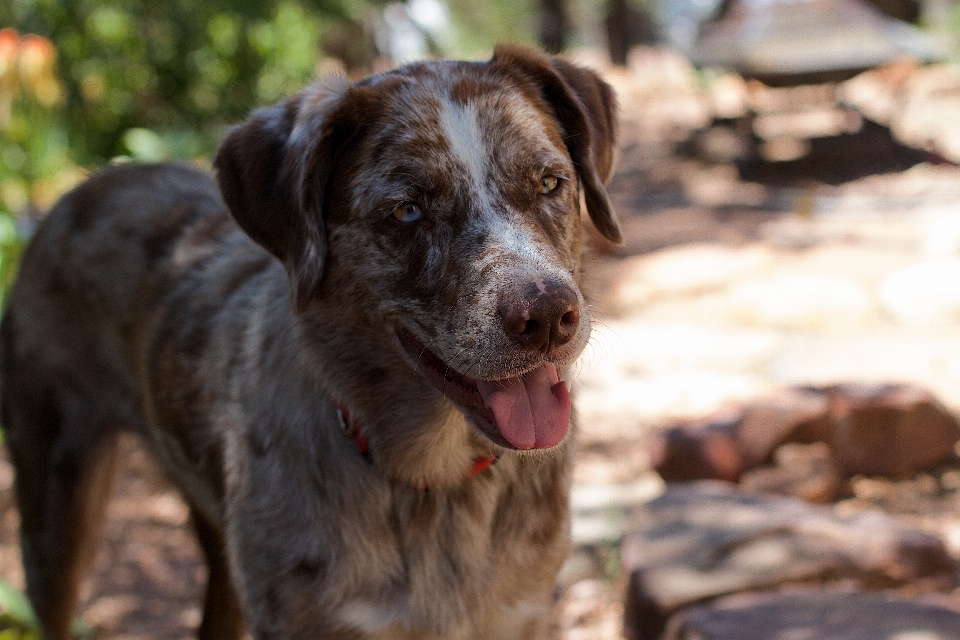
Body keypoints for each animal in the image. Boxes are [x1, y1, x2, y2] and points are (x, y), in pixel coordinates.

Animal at [1, 42, 624, 636]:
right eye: (407, 211)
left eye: (549, 183)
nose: (548, 315)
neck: (436, 479)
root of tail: (90, 183)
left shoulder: (518, 615)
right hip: (55, 512)